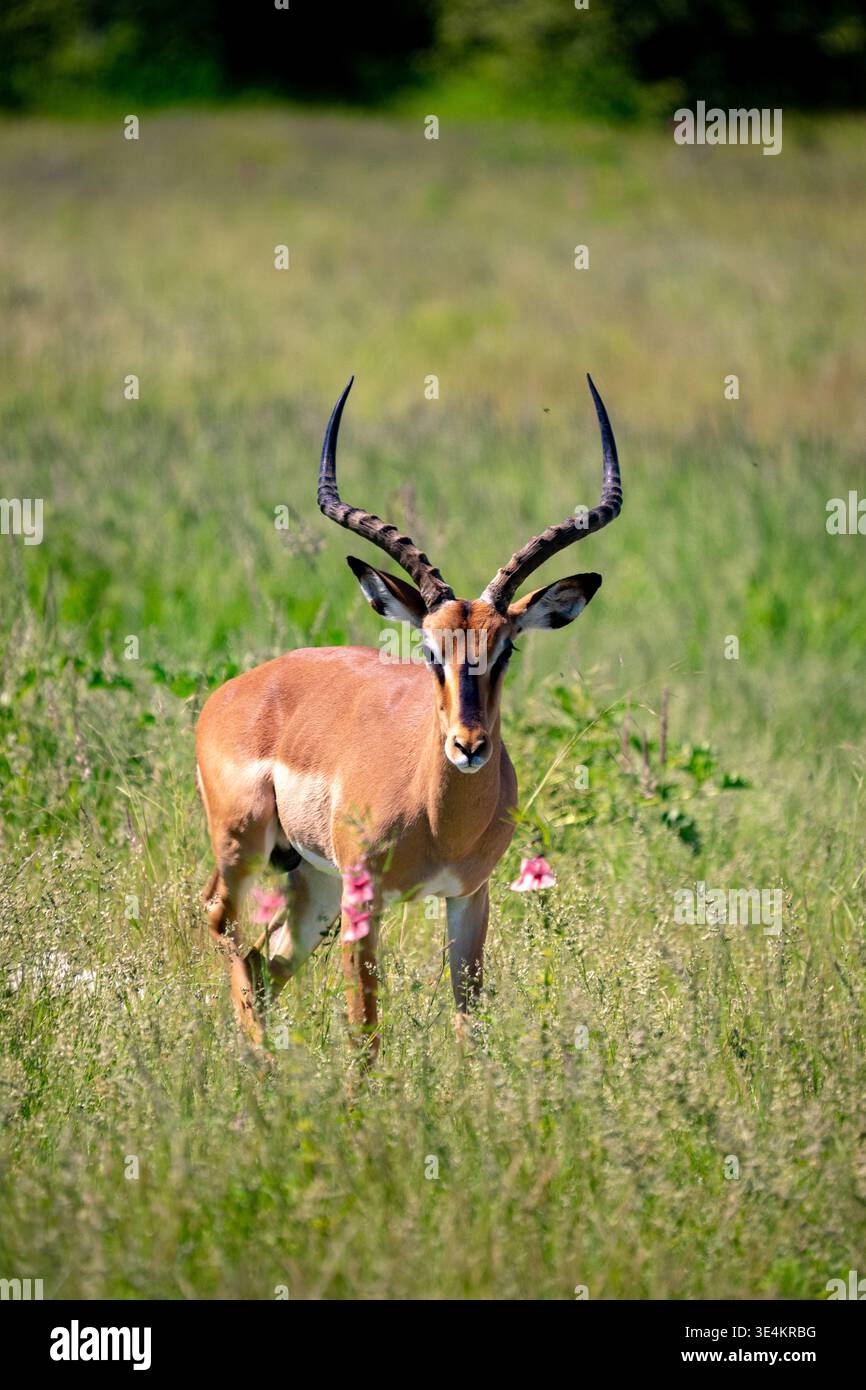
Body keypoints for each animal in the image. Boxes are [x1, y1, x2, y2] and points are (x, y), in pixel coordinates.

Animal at [195, 375, 623, 1055]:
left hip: (311, 881)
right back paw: (261, 1061)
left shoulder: (470, 896)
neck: (438, 818)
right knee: (220, 919)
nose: (468, 746)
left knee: (265, 959)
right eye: (429, 650)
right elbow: (365, 1029)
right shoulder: (364, 900)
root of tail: (237, 689)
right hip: (244, 844)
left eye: (506, 649)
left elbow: (469, 1020)